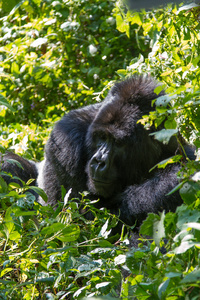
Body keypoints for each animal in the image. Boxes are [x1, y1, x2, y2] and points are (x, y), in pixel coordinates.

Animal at [0, 76, 195, 229]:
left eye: (118, 143)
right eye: (101, 137)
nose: (99, 161)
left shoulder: (176, 144)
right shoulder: (65, 140)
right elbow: (77, 221)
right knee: (9, 165)